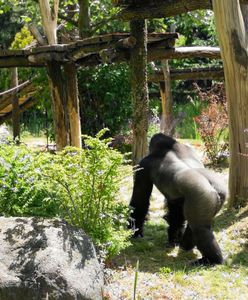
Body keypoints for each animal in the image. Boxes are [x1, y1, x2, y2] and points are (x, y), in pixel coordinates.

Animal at [129, 134, 228, 264]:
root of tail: (214, 188)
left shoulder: (143, 165)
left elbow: (140, 202)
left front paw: (134, 232)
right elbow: (176, 211)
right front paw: (174, 237)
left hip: (203, 196)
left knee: (200, 229)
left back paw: (211, 260)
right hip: (219, 195)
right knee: (197, 224)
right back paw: (186, 245)